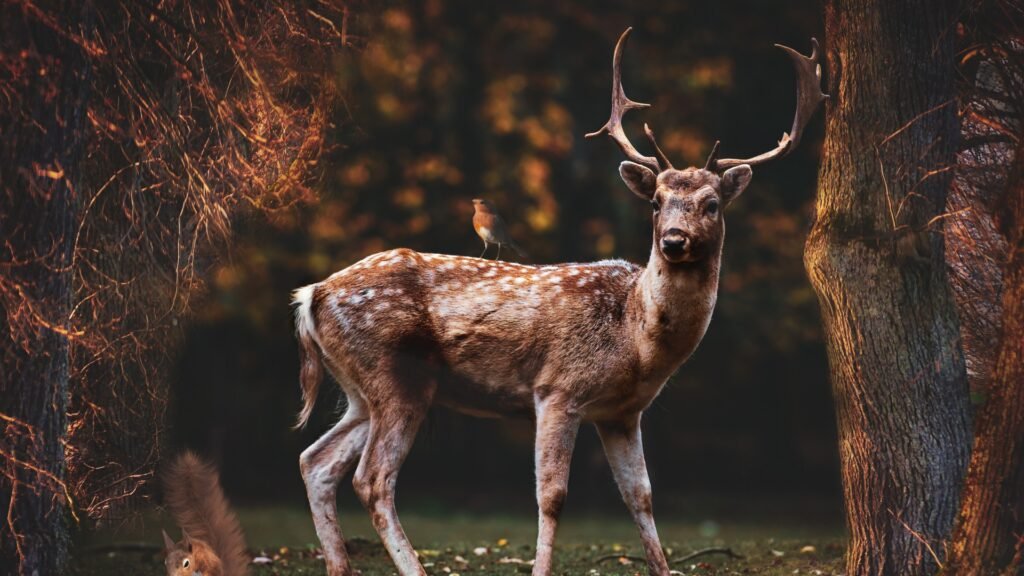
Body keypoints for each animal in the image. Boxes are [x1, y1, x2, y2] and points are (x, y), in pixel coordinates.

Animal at [292, 28, 826, 576]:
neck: (635, 339)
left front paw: (663, 567)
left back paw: (339, 565)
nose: (674, 240)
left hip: (362, 389)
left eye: (712, 204)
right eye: (656, 201)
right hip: (396, 374)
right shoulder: (557, 388)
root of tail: (311, 295)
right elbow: (552, 496)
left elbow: (641, 495)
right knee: (372, 478)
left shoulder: (622, 413)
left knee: (316, 461)